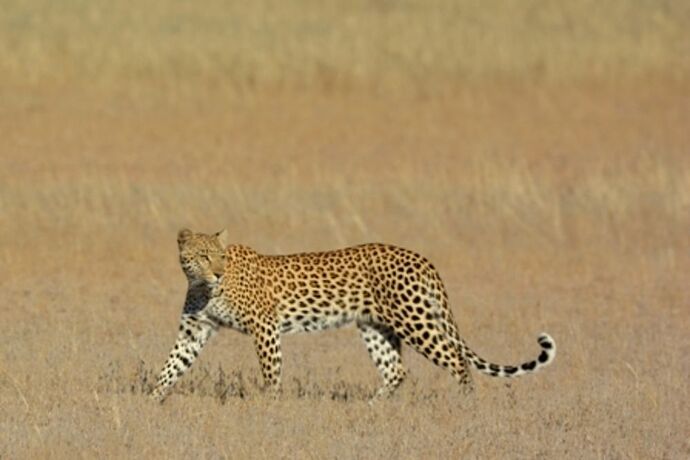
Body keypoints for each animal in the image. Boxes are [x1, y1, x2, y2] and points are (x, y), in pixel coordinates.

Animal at [150, 229, 552, 402]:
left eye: (219, 256)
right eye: (203, 256)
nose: (217, 273)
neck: (203, 287)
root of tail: (422, 258)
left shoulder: (265, 327)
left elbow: (271, 372)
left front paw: (269, 409)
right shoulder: (194, 331)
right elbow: (170, 367)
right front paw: (149, 403)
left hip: (416, 321)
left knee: (457, 360)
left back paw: (466, 408)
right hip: (375, 327)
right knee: (396, 370)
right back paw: (373, 409)